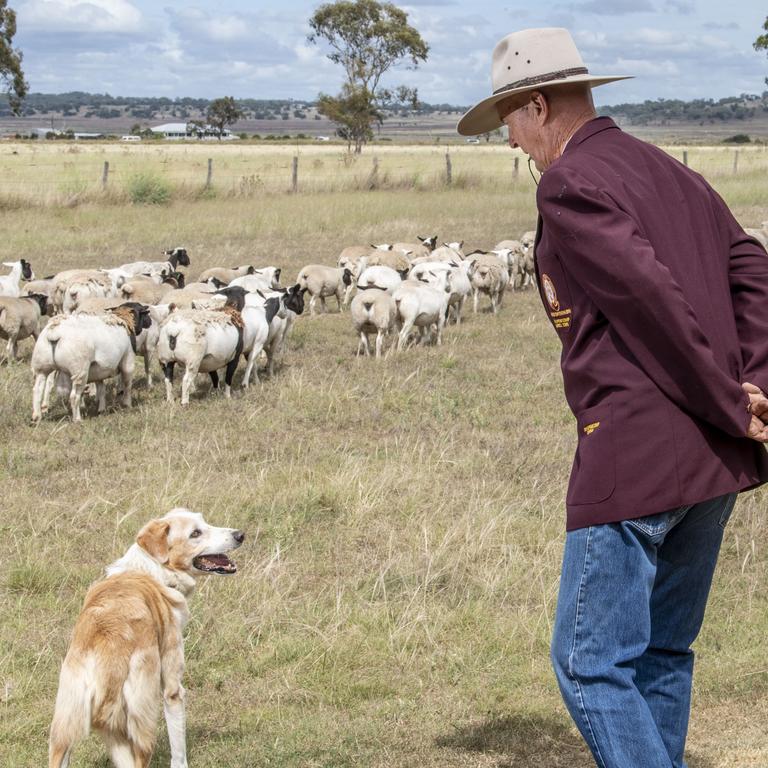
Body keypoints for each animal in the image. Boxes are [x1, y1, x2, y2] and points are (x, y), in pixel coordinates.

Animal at [48, 510, 244, 768]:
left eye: (204, 521)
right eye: (195, 533)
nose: (240, 535)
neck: (152, 569)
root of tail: (109, 658)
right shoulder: (172, 689)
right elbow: (178, 752)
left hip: (65, 725)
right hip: (143, 721)